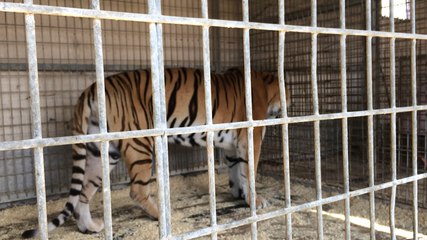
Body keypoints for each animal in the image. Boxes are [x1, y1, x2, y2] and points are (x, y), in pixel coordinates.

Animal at [22, 66, 290, 237]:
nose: (289, 104)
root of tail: (91, 89)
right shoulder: (251, 138)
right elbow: (249, 172)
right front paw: (255, 201)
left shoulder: (234, 146)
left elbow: (237, 172)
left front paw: (239, 194)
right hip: (140, 144)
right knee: (137, 190)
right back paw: (163, 217)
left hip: (102, 152)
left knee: (84, 191)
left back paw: (89, 227)